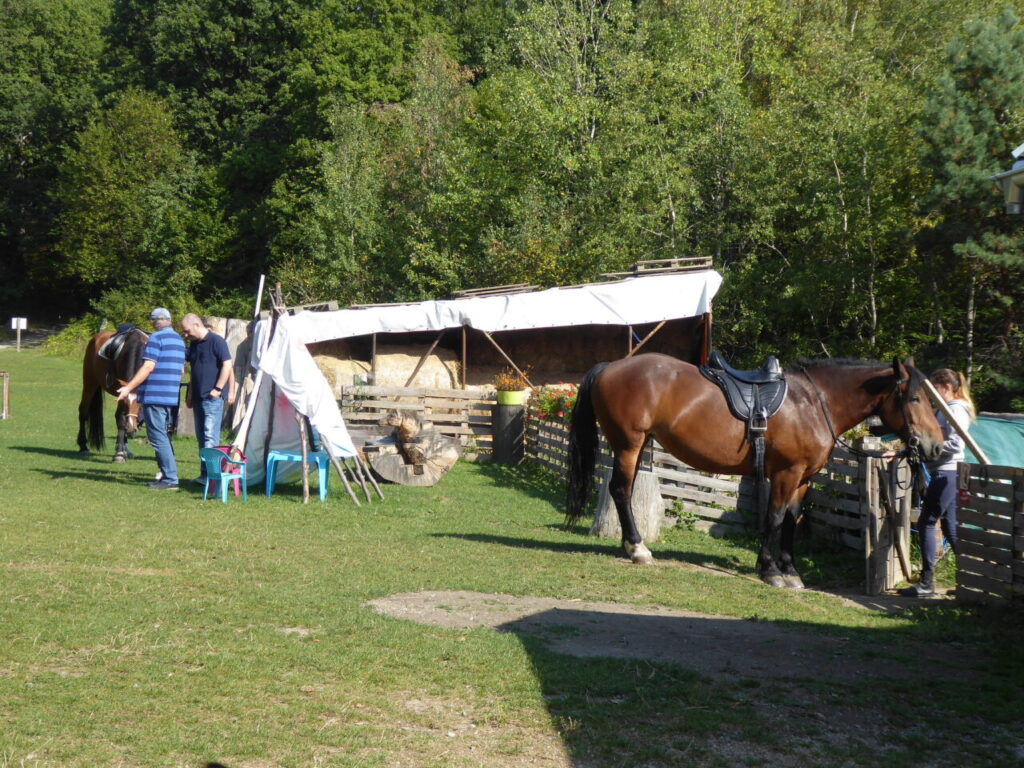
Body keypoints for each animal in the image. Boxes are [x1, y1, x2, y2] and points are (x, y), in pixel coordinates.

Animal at [569, 354, 942, 589]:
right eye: (915, 399)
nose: (936, 447)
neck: (813, 403)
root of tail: (610, 366)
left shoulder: (803, 478)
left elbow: (791, 520)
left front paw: (790, 571)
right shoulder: (786, 473)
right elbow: (774, 518)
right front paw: (770, 570)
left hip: (637, 444)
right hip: (628, 445)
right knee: (621, 491)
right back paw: (637, 549)